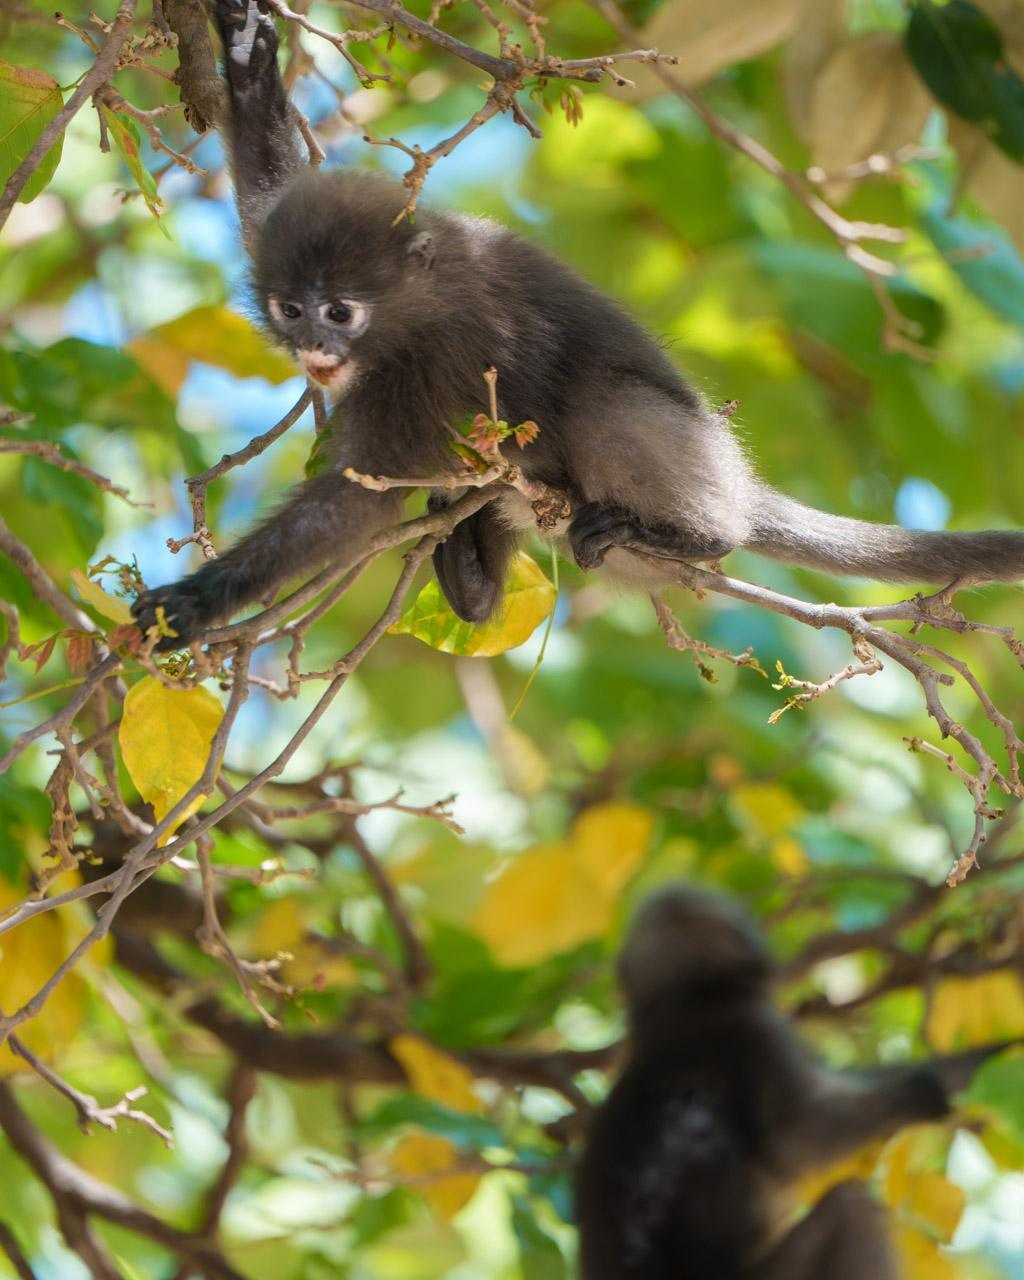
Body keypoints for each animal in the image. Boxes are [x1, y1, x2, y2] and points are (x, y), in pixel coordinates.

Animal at [133, 0, 1024, 648]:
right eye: (290, 308)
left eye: (340, 311)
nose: (312, 344)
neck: (417, 297)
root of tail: (739, 484)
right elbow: (265, 192)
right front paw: (246, 60)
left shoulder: (431, 362)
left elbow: (349, 506)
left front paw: (196, 602)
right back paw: (467, 571)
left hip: (682, 465)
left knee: (609, 406)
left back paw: (696, 537)